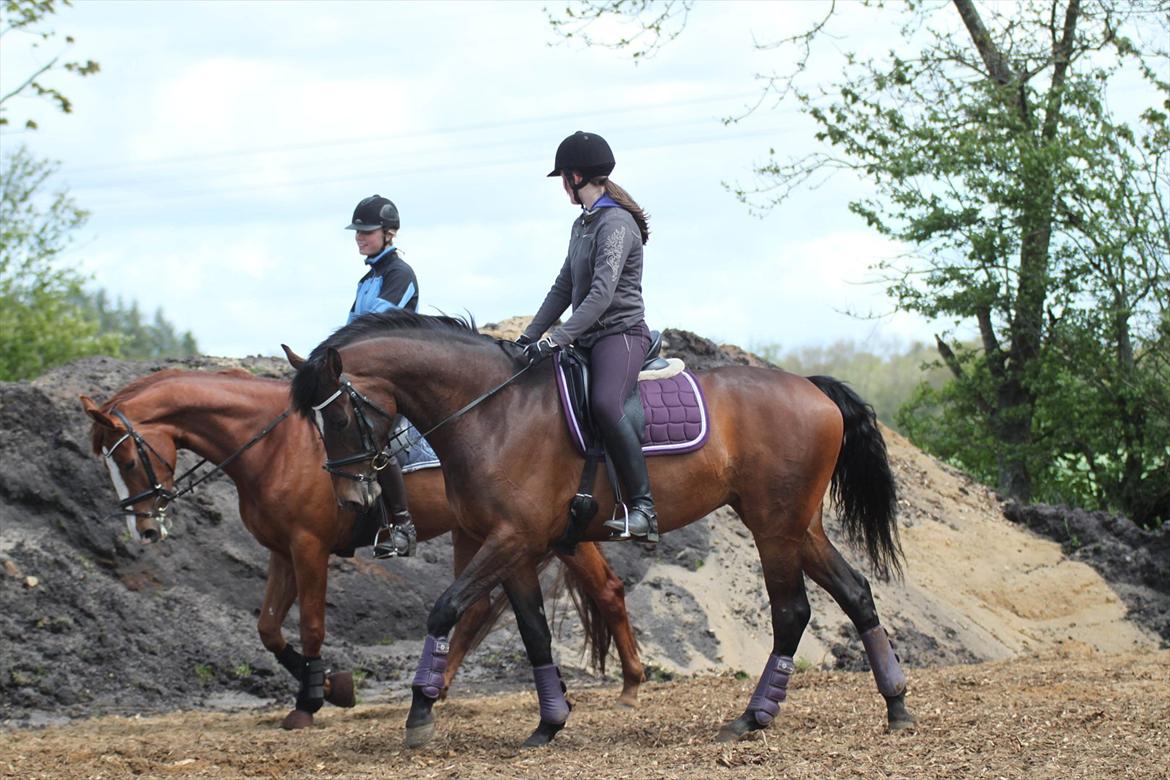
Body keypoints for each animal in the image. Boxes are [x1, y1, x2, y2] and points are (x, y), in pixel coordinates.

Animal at [82, 369, 645, 729]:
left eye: (126, 460)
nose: (143, 530)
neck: (275, 446)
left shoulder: (308, 547)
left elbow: (310, 625)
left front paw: (311, 701)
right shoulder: (281, 552)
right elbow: (268, 630)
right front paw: (333, 687)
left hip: (542, 533)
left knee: (605, 591)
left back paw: (630, 686)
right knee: (481, 606)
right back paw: (439, 688)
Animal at [290, 313, 912, 748]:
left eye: (339, 416)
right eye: (314, 424)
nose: (350, 499)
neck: (492, 412)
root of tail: (811, 387)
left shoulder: (510, 540)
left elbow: (446, 609)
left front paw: (420, 713)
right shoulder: (517, 548)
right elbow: (534, 633)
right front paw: (550, 722)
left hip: (774, 527)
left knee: (791, 613)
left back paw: (754, 716)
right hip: (799, 527)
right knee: (856, 593)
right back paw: (897, 704)